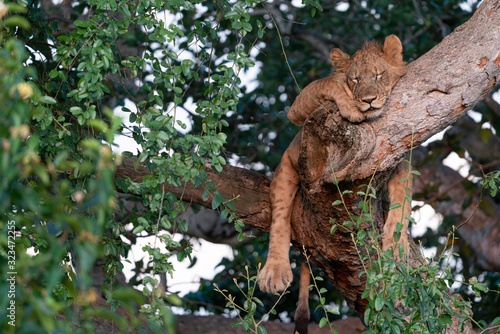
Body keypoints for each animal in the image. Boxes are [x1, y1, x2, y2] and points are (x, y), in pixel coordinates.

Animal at [258, 35, 410, 332]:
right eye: (355, 79)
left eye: (379, 75)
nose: (368, 100)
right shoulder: (297, 107)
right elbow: (328, 84)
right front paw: (351, 107)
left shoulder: (401, 156)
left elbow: (404, 202)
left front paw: (396, 243)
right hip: (287, 165)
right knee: (279, 220)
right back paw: (274, 271)